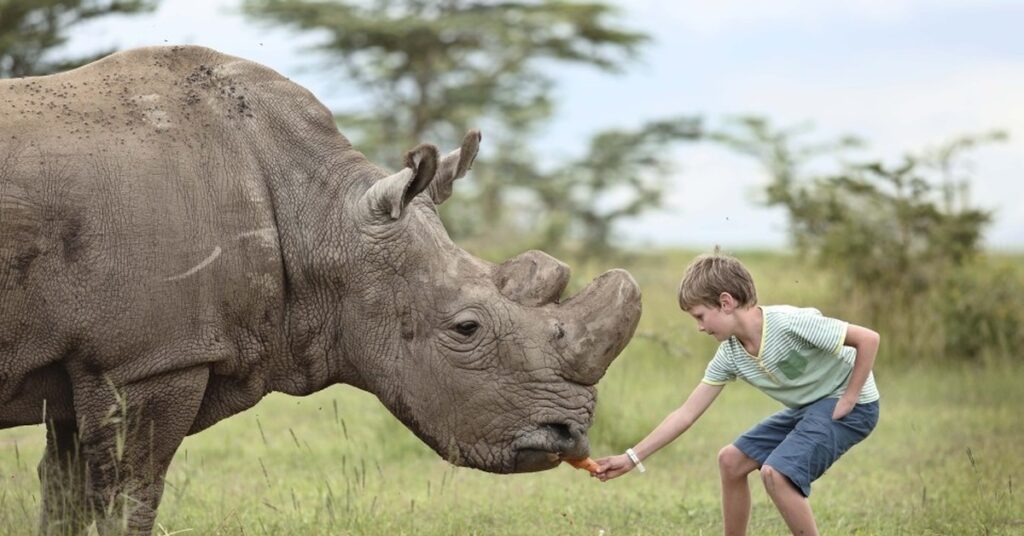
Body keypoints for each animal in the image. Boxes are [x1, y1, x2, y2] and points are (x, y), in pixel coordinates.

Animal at [0, 46, 641, 534]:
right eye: (466, 328)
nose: (568, 435)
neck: (318, 213)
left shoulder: (89, 360)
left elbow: (65, 494)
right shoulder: (147, 359)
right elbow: (127, 496)